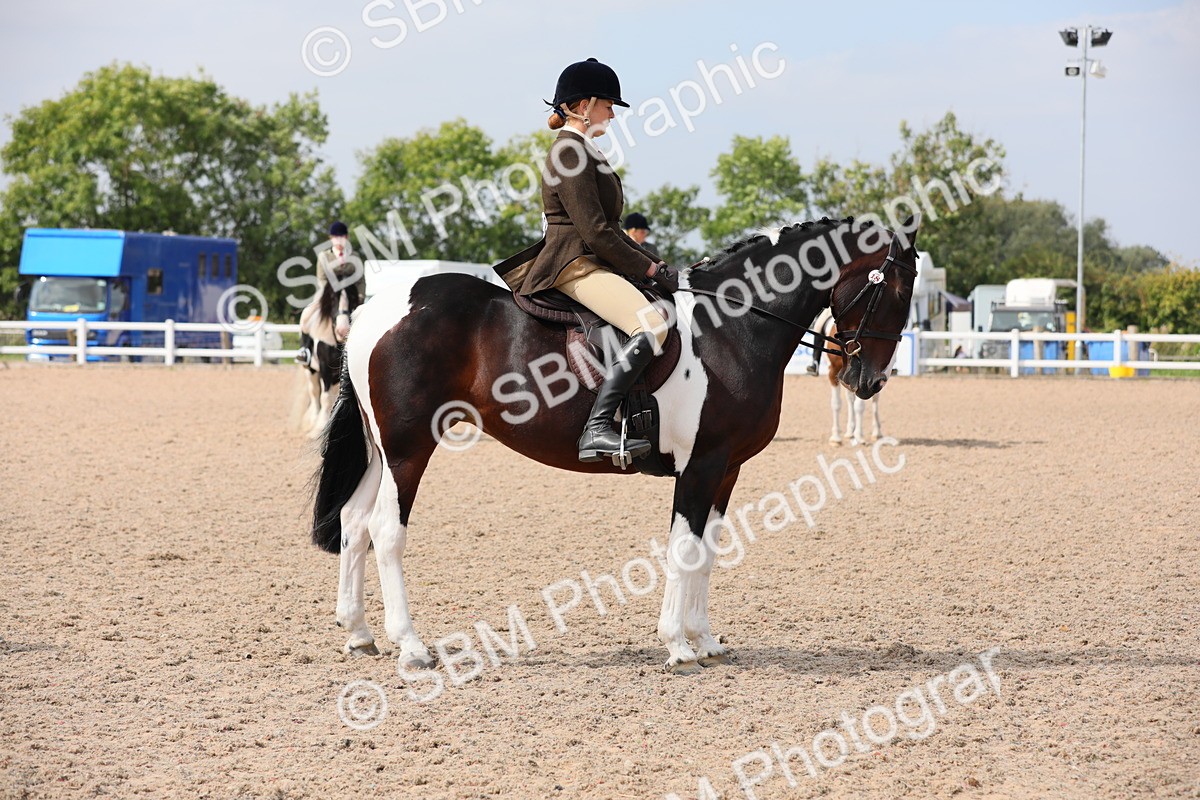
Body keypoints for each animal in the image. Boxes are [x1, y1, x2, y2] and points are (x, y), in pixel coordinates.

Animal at [297, 279, 362, 439]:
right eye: (333, 298)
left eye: (352, 297)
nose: (343, 330)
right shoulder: (324, 368)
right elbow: (324, 397)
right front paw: (319, 427)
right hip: (311, 370)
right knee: (315, 393)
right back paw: (313, 421)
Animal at [309, 215, 919, 674]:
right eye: (892, 289)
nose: (869, 381)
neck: (733, 327)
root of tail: (374, 309)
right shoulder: (700, 465)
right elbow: (684, 548)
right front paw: (677, 646)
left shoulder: (726, 469)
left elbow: (709, 549)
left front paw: (707, 641)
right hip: (409, 448)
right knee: (386, 531)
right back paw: (411, 647)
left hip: (380, 450)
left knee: (354, 522)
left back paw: (359, 633)